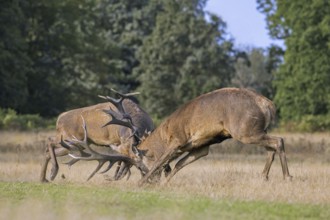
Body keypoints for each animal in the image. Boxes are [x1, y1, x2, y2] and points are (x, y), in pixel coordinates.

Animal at [63, 88, 292, 186]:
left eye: (140, 165)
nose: (152, 182)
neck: (163, 135)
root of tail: (268, 105)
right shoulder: (200, 146)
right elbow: (178, 165)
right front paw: (165, 183)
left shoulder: (178, 139)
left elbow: (163, 161)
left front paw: (143, 182)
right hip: (255, 130)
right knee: (271, 146)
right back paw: (264, 176)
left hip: (245, 130)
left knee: (278, 141)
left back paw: (287, 176)